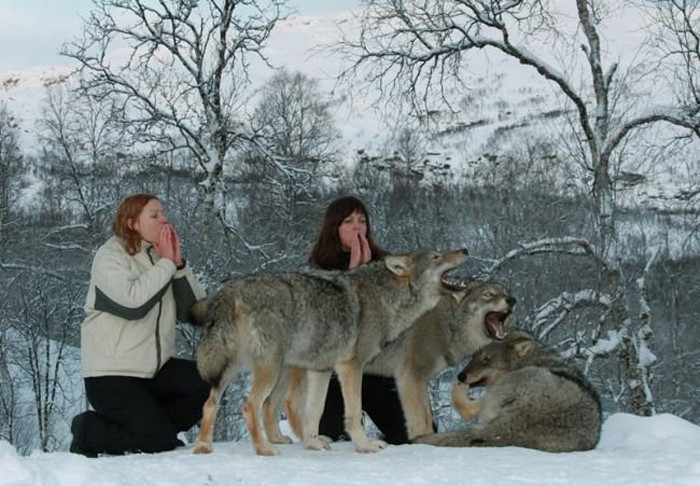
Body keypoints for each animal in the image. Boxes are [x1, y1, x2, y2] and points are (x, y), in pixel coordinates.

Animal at [191, 251, 468, 456]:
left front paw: (313, 443)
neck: (384, 298)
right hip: (269, 369)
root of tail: (230, 289)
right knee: (250, 405)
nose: (464, 249)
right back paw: (263, 449)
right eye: (436, 256)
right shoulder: (351, 367)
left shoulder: (321, 370)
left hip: (237, 370)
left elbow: (314, 411)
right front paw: (364, 446)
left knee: (211, 403)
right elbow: (354, 413)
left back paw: (205, 447)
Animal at [278, 280, 516, 442]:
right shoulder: (409, 377)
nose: (512, 300)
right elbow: (420, 422)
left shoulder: (421, 381)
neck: (447, 325)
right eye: (488, 294)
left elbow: (427, 419)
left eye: (505, 292)